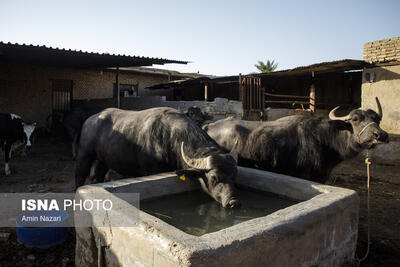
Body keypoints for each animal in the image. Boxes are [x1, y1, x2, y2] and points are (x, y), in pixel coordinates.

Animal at [76, 108, 239, 208]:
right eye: (214, 177)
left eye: (234, 175)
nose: (233, 202)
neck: (170, 138)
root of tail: (89, 121)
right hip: (84, 155)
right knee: (80, 176)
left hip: (103, 161)